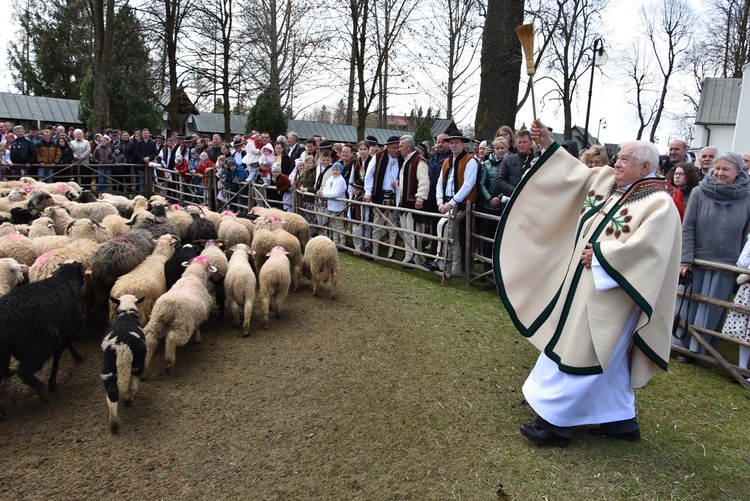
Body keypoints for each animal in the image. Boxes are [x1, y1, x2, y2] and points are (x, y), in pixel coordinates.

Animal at [0, 260, 86, 420]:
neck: (63, 281)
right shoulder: (65, 331)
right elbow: (58, 357)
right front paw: (52, 382)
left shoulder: (63, 330)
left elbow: (66, 347)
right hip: (34, 349)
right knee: (24, 372)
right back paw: (41, 392)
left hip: (4, 354)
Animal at [100, 294, 146, 432]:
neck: (127, 315)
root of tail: (123, 347)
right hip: (136, 365)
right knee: (133, 385)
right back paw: (126, 402)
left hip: (109, 369)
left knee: (112, 393)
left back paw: (114, 422)